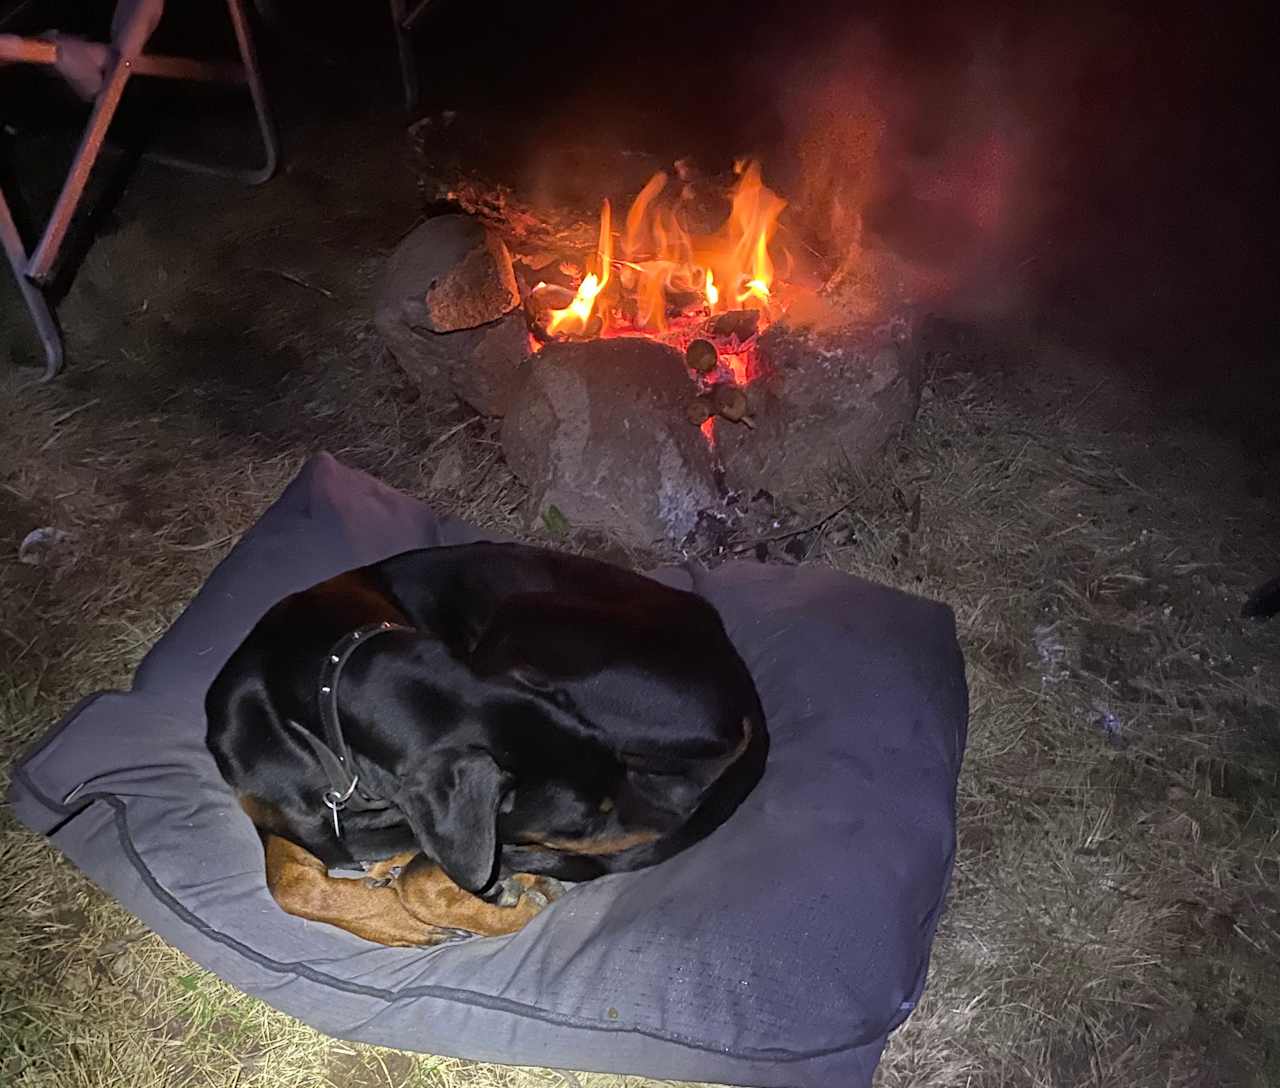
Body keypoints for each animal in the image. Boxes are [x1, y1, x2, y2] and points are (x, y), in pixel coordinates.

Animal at [204, 540, 762, 942]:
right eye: (587, 819)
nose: (679, 818)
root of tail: (741, 680)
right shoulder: (283, 816)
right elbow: (289, 883)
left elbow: (422, 879)